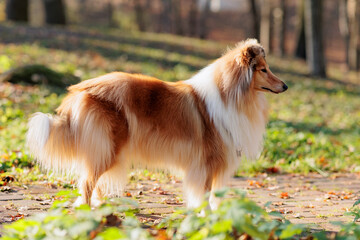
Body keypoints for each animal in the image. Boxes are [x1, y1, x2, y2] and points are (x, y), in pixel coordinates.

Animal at [26, 38, 288, 209]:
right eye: (263, 70)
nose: (285, 86)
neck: (231, 94)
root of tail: (79, 90)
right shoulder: (207, 163)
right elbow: (204, 195)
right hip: (108, 146)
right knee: (87, 182)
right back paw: (87, 212)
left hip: (106, 148)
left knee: (93, 180)